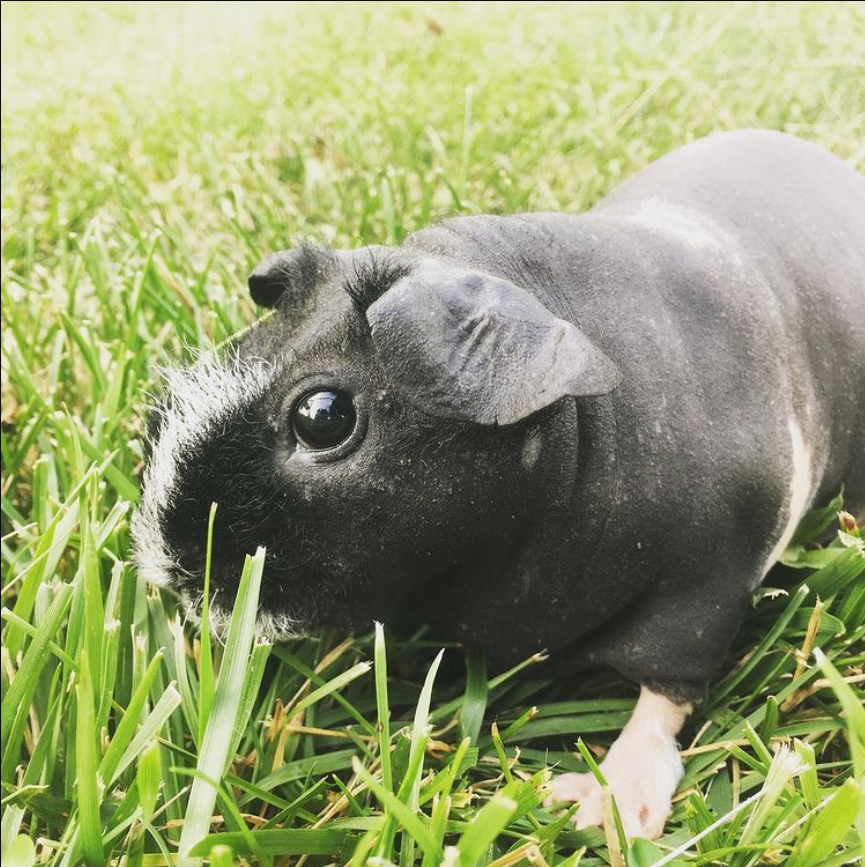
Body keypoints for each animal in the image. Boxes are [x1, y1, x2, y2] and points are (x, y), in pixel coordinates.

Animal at [132, 130, 865, 839]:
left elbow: (664, 691)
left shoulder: (703, 590)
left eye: (323, 416)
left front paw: (597, 811)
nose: (168, 569)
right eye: (242, 346)